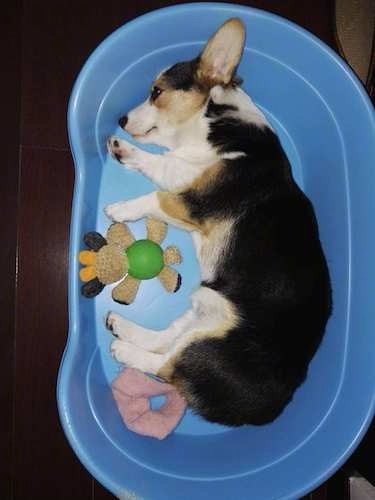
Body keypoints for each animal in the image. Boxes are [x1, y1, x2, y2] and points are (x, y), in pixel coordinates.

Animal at [103, 19, 332, 426]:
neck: (217, 123)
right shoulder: (184, 179)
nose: (121, 121)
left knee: (166, 367)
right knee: (165, 340)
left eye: (156, 92)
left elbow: (155, 189)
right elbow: (159, 163)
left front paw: (122, 208)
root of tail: (266, 410)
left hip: (207, 342)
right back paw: (121, 327)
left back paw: (124, 351)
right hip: (202, 312)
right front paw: (124, 150)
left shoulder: (190, 196)